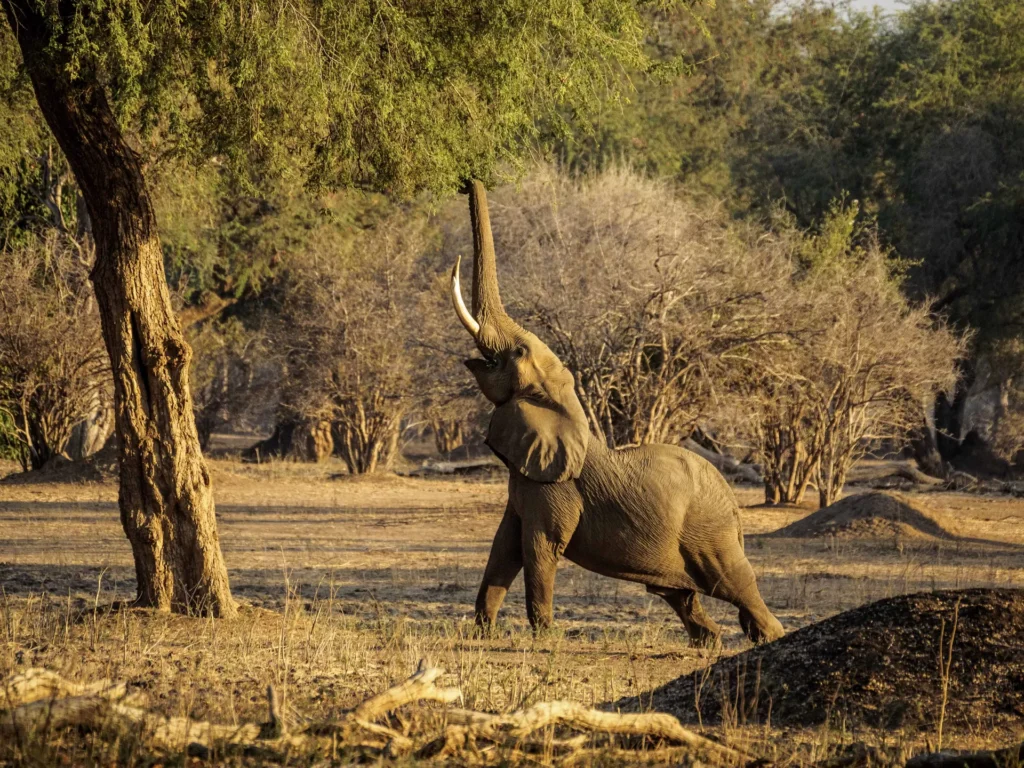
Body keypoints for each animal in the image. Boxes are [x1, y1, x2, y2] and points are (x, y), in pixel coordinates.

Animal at [449, 180, 785, 645]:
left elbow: (539, 547)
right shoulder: (526, 483)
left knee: (734, 583)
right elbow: (505, 546)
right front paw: (481, 635)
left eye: (517, 353)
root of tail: (734, 505)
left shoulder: (554, 488)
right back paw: (711, 640)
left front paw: (546, 639)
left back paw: (769, 637)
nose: (468, 181)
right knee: (681, 594)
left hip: (710, 531)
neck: (563, 404)